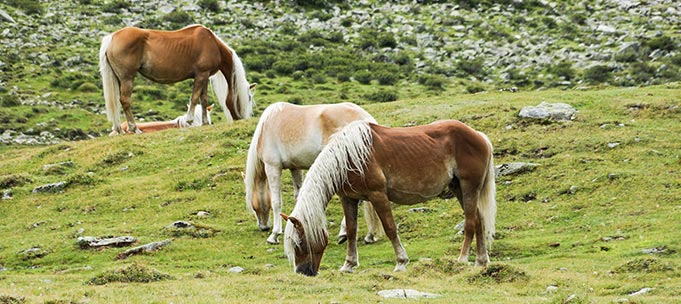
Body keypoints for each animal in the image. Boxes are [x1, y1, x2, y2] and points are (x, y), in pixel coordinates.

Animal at [97, 23, 254, 133]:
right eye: (249, 97)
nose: (243, 118)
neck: (212, 43)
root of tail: (112, 37)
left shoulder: (204, 75)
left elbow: (203, 100)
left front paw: (204, 123)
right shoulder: (201, 75)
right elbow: (194, 98)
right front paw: (189, 120)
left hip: (118, 79)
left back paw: (119, 130)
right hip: (127, 78)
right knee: (125, 101)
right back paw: (135, 129)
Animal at [244, 102, 382, 245]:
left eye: (253, 206)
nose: (263, 227)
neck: (266, 126)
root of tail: (367, 119)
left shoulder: (272, 167)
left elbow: (276, 202)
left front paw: (274, 234)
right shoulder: (295, 168)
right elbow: (298, 196)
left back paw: (345, 233)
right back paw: (368, 235)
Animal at [278, 119, 496, 276]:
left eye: (300, 243)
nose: (302, 272)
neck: (348, 157)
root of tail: (479, 136)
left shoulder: (378, 196)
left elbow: (390, 228)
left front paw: (401, 262)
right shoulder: (348, 199)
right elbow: (351, 231)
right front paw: (348, 265)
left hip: (469, 187)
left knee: (470, 223)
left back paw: (462, 259)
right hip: (459, 188)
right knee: (478, 220)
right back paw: (481, 261)